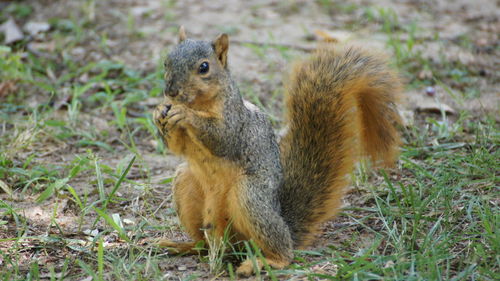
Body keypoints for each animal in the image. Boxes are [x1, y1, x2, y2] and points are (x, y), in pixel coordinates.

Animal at [151, 26, 402, 276]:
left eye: (204, 67)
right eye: (166, 61)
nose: (171, 91)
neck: (198, 103)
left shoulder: (235, 122)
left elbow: (223, 138)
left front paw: (184, 114)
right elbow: (177, 146)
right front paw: (159, 112)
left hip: (250, 195)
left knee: (281, 250)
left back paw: (266, 261)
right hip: (186, 184)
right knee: (205, 243)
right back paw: (181, 245)